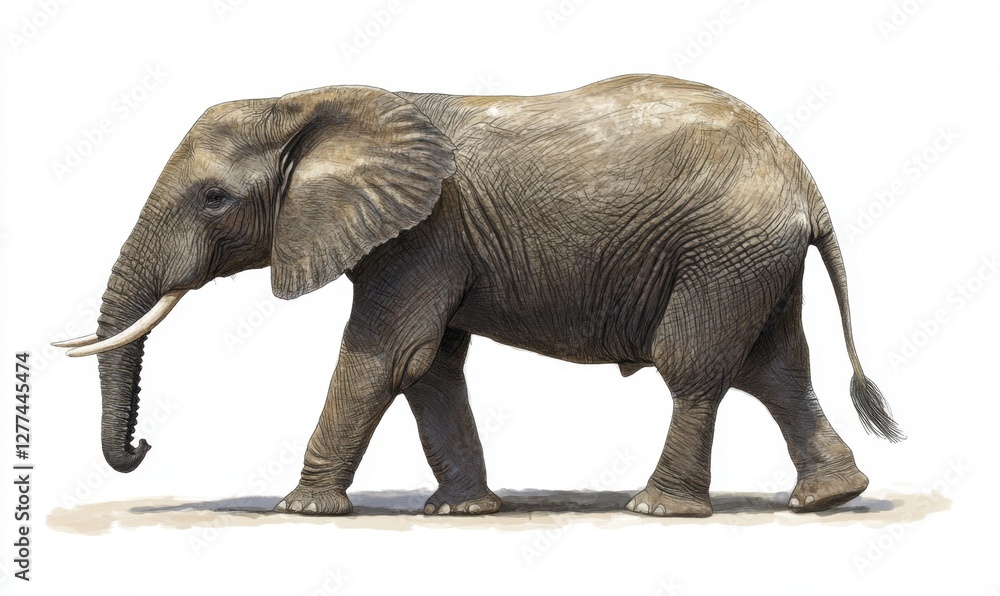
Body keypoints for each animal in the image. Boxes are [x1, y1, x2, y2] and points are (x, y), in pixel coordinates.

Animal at [56, 73, 903, 517]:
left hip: (723, 250)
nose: (143, 446)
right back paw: (831, 499)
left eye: (213, 200)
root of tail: (804, 180)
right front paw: (461, 513)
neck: (315, 101)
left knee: (695, 367)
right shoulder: (432, 243)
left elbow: (385, 357)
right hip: (752, 257)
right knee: (776, 370)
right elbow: (428, 367)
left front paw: (301, 510)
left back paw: (658, 508)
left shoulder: (424, 233)